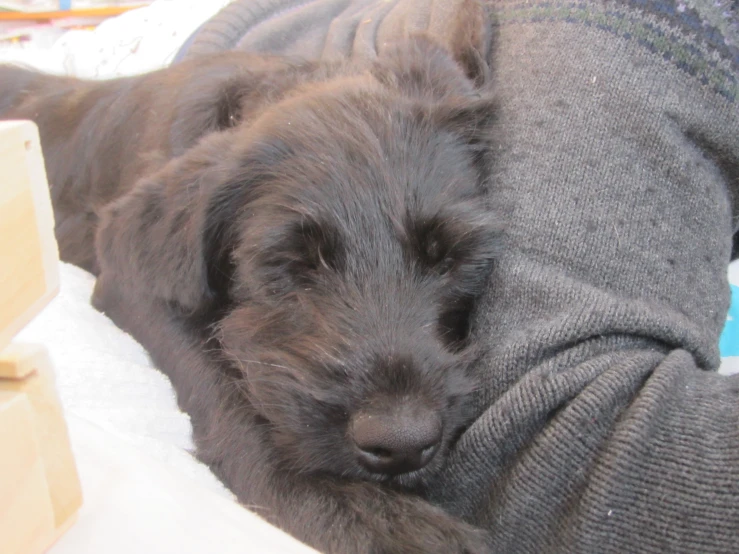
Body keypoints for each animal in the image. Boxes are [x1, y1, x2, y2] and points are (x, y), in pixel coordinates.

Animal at [0, 15, 502, 548]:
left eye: (450, 258)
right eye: (291, 263)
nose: (401, 441)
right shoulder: (132, 276)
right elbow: (218, 380)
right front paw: (359, 513)